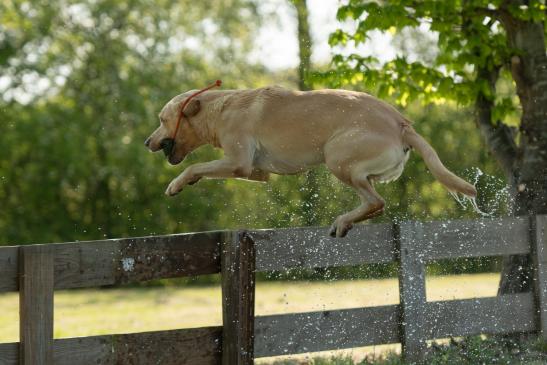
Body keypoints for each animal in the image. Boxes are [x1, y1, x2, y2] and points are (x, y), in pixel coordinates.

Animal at [144, 86, 476, 239]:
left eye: (161, 119)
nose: (147, 142)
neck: (219, 109)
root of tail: (402, 124)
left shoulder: (238, 162)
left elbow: (194, 166)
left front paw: (177, 184)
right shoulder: (256, 171)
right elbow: (206, 169)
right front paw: (188, 181)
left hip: (336, 156)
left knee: (376, 201)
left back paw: (343, 221)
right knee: (374, 201)